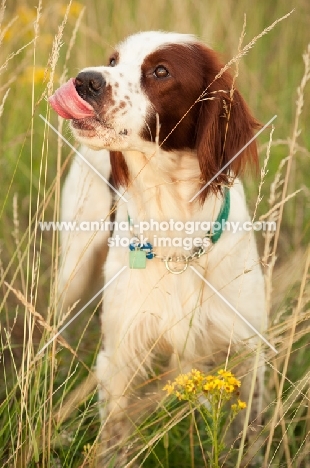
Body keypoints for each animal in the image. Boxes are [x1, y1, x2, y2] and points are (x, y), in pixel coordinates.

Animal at [50, 31, 266, 466]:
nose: (84, 81)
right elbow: (114, 441)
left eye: (161, 72)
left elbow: (246, 434)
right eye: (113, 60)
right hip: (73, 274)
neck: (175, 227)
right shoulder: (120, 358)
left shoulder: (247, 354)